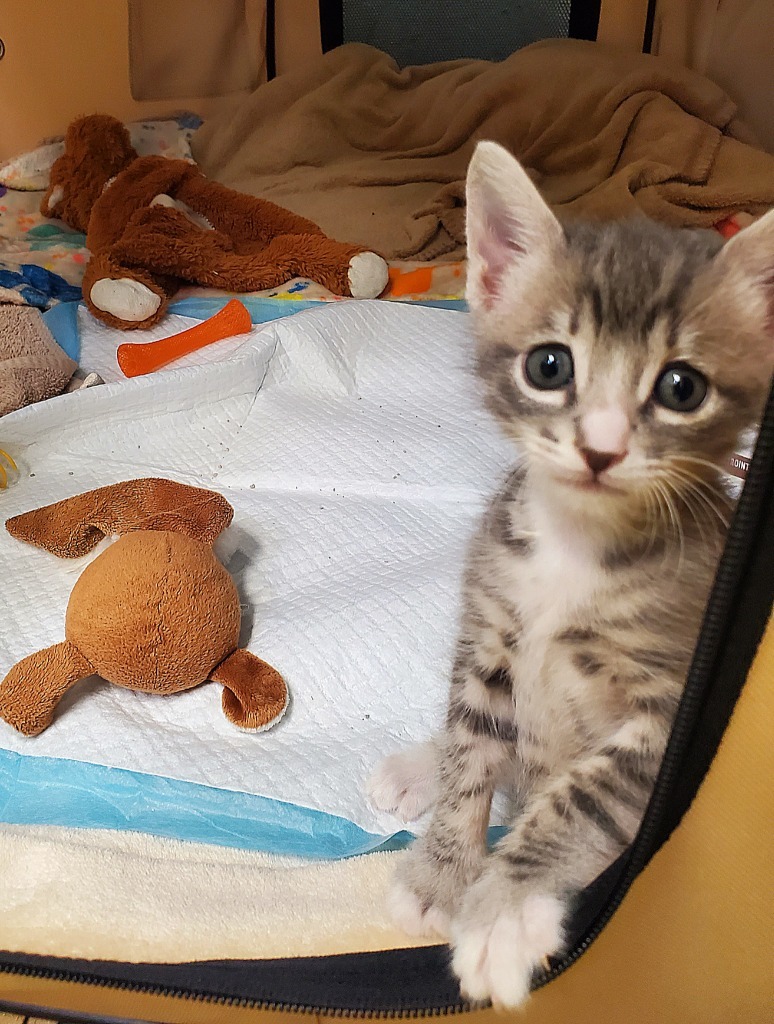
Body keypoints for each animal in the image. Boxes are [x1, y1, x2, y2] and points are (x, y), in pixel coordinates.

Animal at [370, 144, 774, 1007]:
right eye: (550, 366)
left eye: (681, 387)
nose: (601, 447)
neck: (577, 548)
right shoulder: (490, 631)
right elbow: (472, 750)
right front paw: (442, 871)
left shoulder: (667, 714)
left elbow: (581, 795)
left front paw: (503, 912)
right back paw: (418, 767)